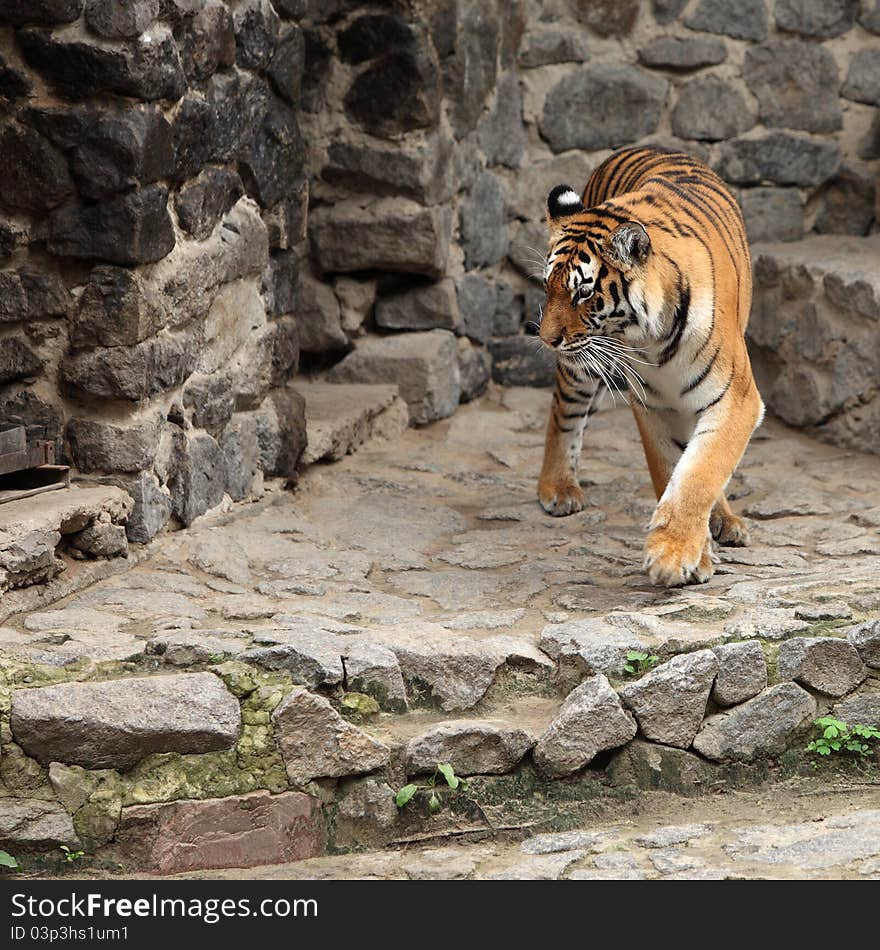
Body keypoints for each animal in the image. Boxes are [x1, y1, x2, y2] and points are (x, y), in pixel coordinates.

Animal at [536, 146, 764, 588]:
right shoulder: (652, 404)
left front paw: (672, 555)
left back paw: (726, 521)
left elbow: (700, 472)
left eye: (583, 292)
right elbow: (669, 469)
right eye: (547, 286)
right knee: (563, 412)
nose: (545, 338)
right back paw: (558, 489)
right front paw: (688, 555)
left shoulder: (736, 398)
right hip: (583, 368)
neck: (654, 340)